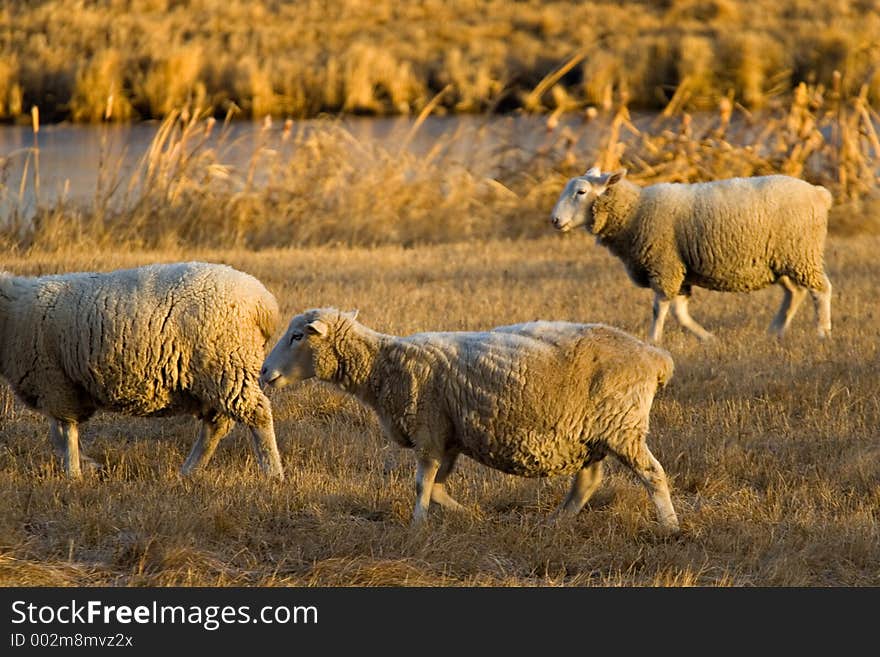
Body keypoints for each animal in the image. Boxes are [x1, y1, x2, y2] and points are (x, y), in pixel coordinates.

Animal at [0, 258, 282, 480]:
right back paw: (188, 472)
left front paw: (75, 474)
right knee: (215, 426)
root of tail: (263, 303)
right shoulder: (60, 387)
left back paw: (273, 472)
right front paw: (89, 468)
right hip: (217, 374)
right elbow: (63, 436)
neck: (10, 313)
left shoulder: (54, 383)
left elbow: (62, 436)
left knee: (257, 415)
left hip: (227, 366)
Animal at [262, 308, 680, 532]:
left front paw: (417, 527)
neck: (383, 364)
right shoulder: (448, 436)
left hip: (621, 425)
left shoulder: (429, 429)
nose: (264, 372)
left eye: (298, 336)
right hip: (590, 435)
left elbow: (422, 484)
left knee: (652, 474)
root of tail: (655, 358)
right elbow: (438, 488)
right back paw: (554, 523)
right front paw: (470, 515)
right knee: (588, 482)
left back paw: (670, 524)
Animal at [552, 168, 832, 344]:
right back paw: (775, 331)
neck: (634, 211)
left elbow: (659, 308)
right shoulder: (679, 269)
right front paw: (708, 339)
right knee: (794, 293)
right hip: (780, 260)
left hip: (802, 253)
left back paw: (822, 332)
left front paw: (653, 339)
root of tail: (820, 193)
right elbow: (680, 313)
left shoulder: (665, 266)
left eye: (581, 192)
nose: (554, 220)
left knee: (821, 290)